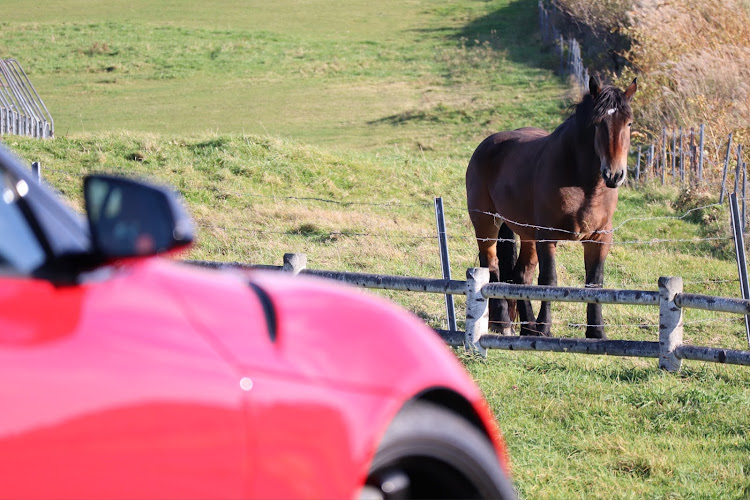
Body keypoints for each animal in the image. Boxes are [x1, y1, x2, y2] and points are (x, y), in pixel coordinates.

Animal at [468, 76, 636, 338]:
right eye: (598, 123)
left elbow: (594, 282)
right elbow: (549, 281)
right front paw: (545, 328)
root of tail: (487, 144)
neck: (582, 182)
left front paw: (596, 333)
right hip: (487, 224)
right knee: (491, 267)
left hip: (527, 234)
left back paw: (528, 327)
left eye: (628, 123)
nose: (615, 174)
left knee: (521, 275)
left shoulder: (600, 238)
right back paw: (505, 324)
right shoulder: (547, 237)